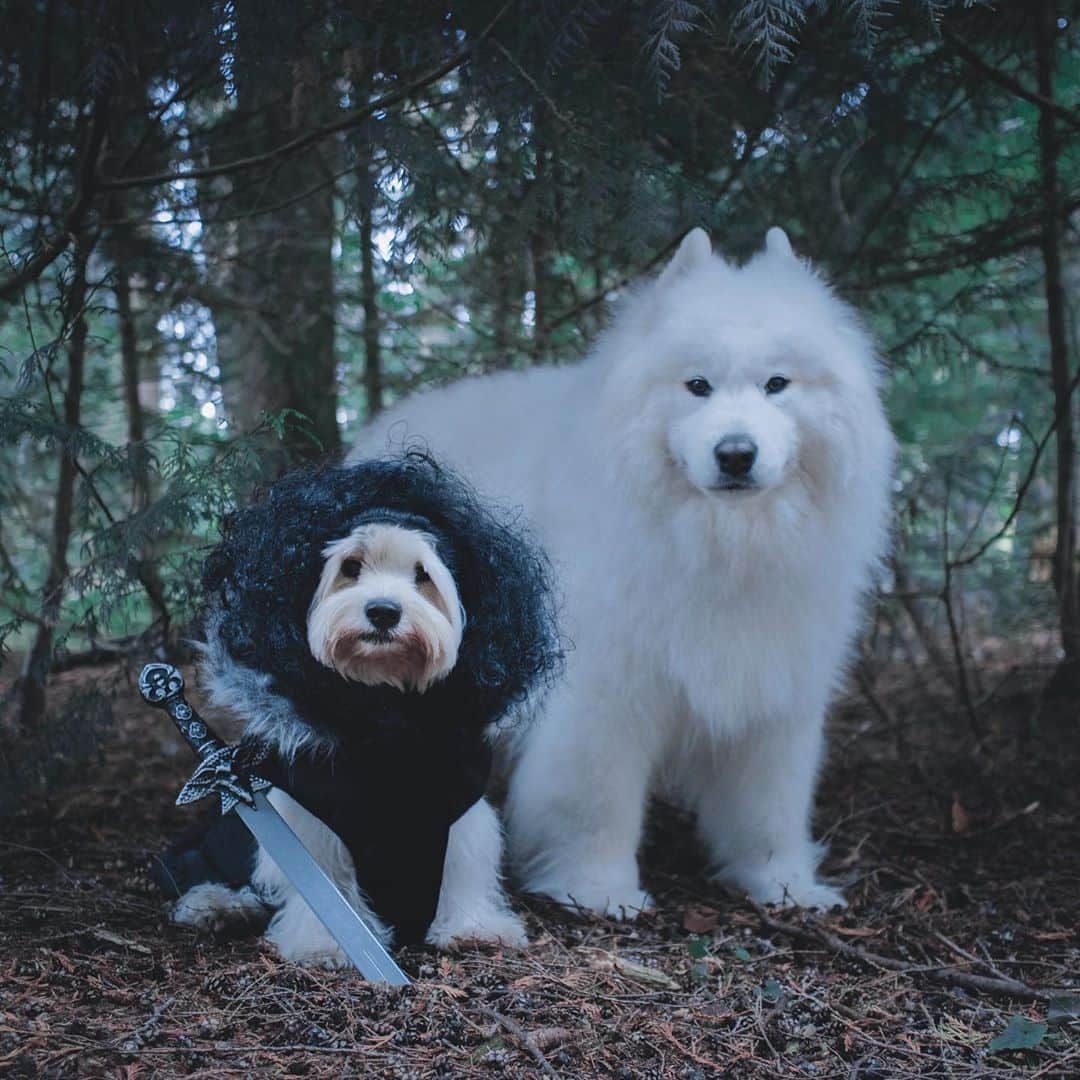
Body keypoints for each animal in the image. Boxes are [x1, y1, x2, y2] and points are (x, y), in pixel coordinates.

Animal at [354, 232, 894, 915]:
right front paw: (598, 889)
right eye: (697, 386)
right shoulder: (605, 694)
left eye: (777, 384)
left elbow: (770, 805)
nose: (736, 453)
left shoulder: (775, 692)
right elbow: (598, 801)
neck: (719, 546)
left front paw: (781, 883)